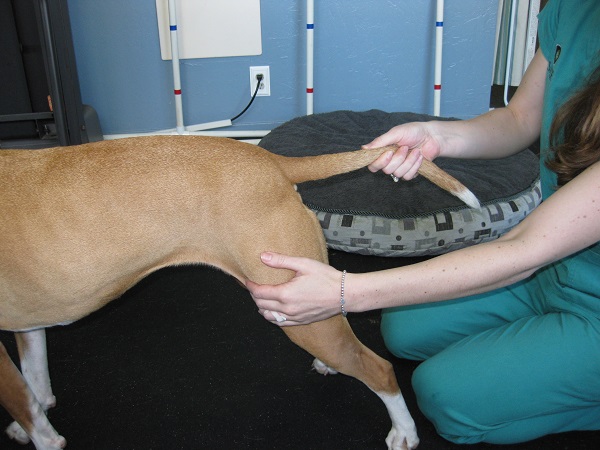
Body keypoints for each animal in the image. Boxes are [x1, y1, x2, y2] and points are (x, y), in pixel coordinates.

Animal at [0, 136, 478, 450]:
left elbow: (28, 407)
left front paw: (37, 433)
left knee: (378, 368)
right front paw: (32, 419)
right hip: (307, 299)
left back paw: (405, 433)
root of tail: (267, 158)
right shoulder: (29, 325)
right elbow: (35, 383)